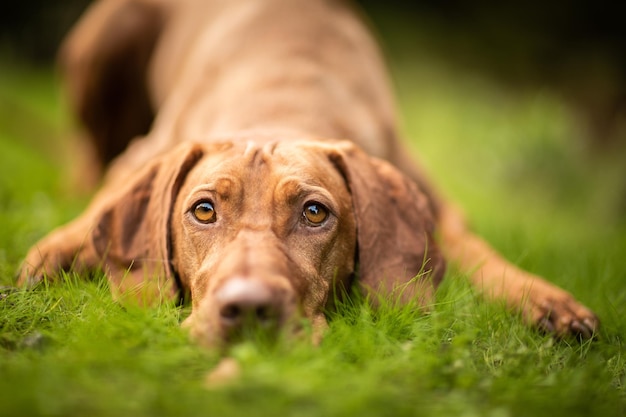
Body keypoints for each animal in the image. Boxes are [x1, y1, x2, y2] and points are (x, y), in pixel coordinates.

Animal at [18, 0, 596, 344]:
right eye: (203, 210)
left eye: (315, 213)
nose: (248, 310)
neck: (283, 94)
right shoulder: (142, 154)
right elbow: (98, 206)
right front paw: (57, 251)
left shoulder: (432, 198)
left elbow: (476, 249)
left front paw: (545, 300)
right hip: (107, 32)